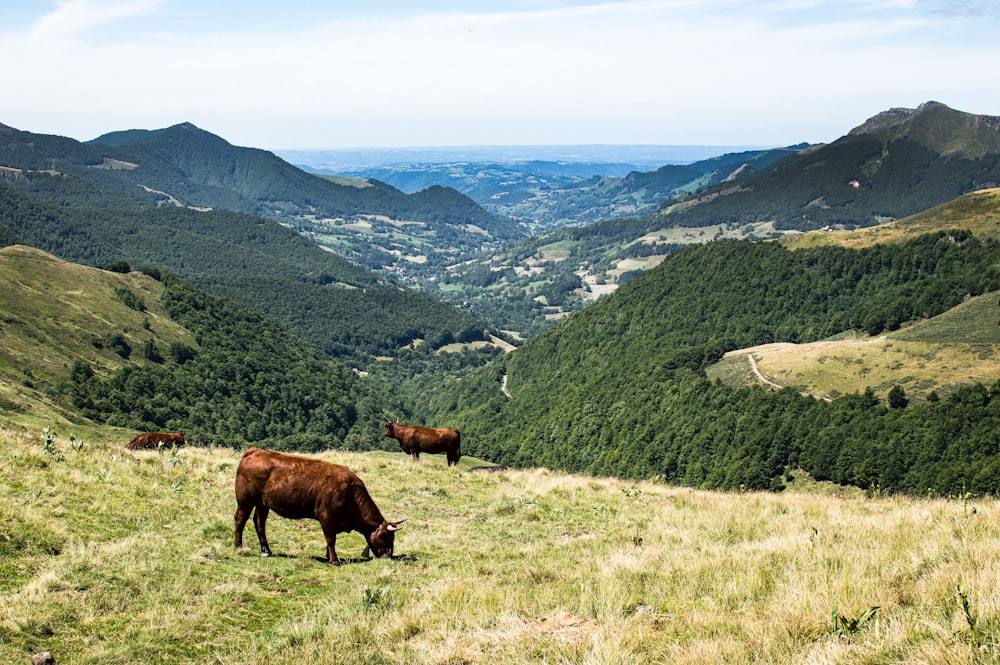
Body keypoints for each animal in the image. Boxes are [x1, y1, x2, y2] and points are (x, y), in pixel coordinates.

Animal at [234, 446, 402, 564]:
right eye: (388, 537)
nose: (389, 556)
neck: (349, 492)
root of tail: (256, 451)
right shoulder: (325, 515)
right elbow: (330, 538)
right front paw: (334, 560)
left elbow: (330, 539)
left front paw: (328, 556)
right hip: (245, 500)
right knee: (240, 519)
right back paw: (238, 546)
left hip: (262, 504)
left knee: (259, 523)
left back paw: (266, 550)